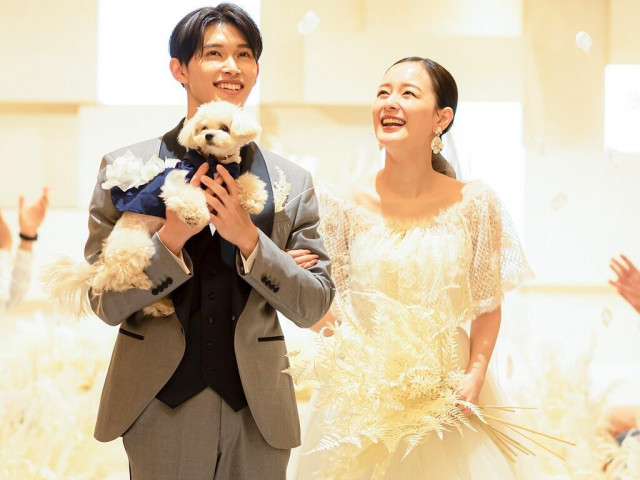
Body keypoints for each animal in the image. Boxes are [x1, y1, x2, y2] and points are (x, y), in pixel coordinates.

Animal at [43, 101, 266, 317]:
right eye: (203, 128)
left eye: (224, 128)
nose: (208, 135)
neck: (212, 162)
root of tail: (104, 262)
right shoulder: (175, 186)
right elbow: (190, 196)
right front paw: (197, 215)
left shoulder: (229, 178)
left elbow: (245, 181)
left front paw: (254, 199)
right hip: (138, 245)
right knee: (116, 278)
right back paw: (141, 282)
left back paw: (162, 306)